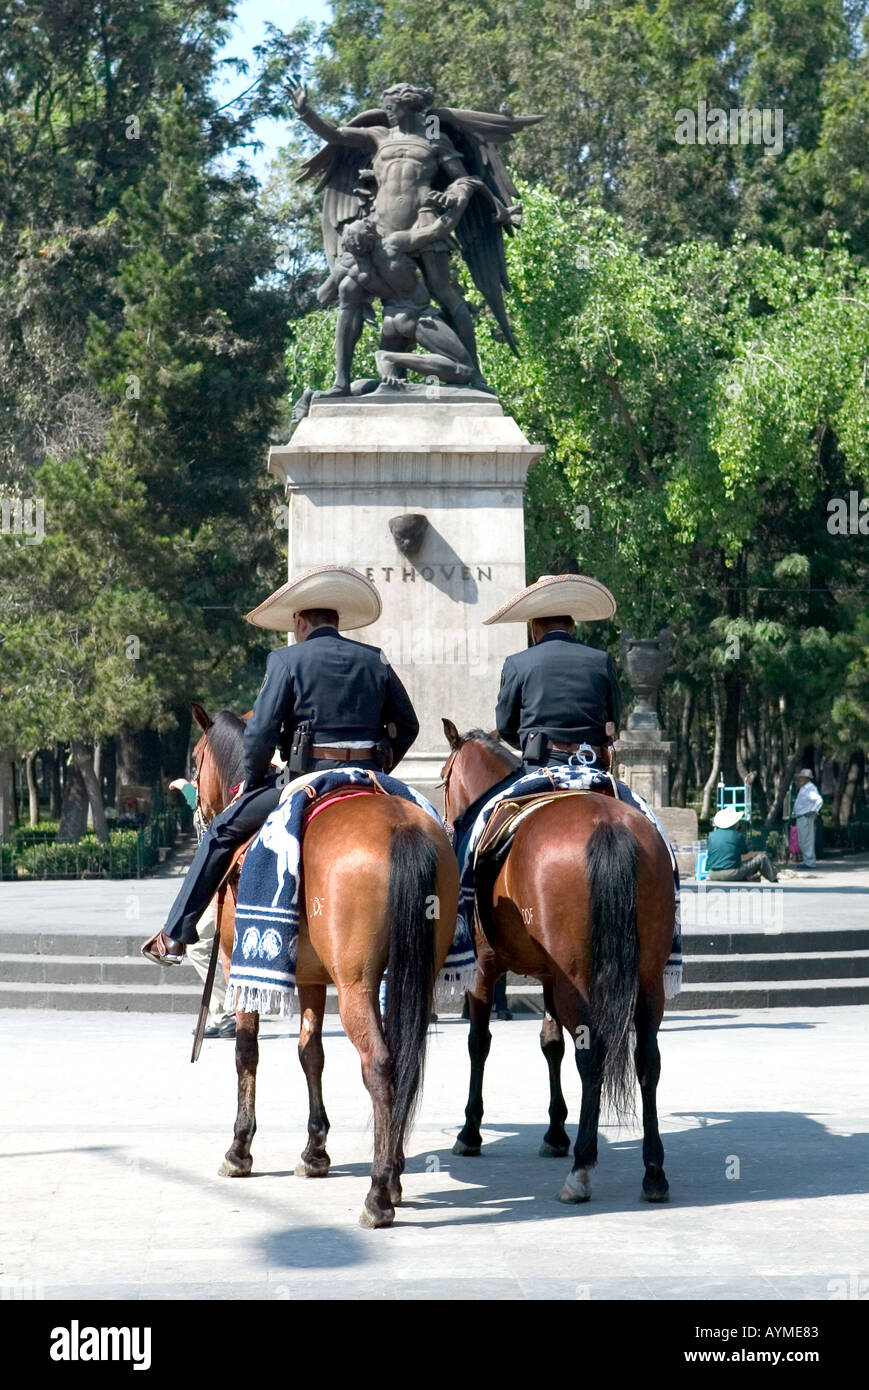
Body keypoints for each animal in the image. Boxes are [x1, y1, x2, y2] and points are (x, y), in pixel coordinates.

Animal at [189, 706, 461, 1228]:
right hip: (411, 975)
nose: (197, 818)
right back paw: (393, 1174)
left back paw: (378, 1194)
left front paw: (239, 1148)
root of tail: (402, 827)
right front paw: (315, 1149)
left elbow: (247, 1053)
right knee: (403, 1059)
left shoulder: (240, 968)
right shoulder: (312, 976)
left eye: (195, 759)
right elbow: (309, 1052)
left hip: (356, 984)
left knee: (379, 1064)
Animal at [439, 722, 670, 1200]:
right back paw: (654, 1171)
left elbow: (478, 1043)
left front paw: (470, 1132)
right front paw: (555, 1132)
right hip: (647, 978)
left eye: (442, 778)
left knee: (593, 1056)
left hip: (578, 980)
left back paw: (582, 1167)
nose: (448, 825)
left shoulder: (484, 968)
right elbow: (550, 1044)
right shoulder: (548, 974)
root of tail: (606, 825)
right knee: (648, 1060)